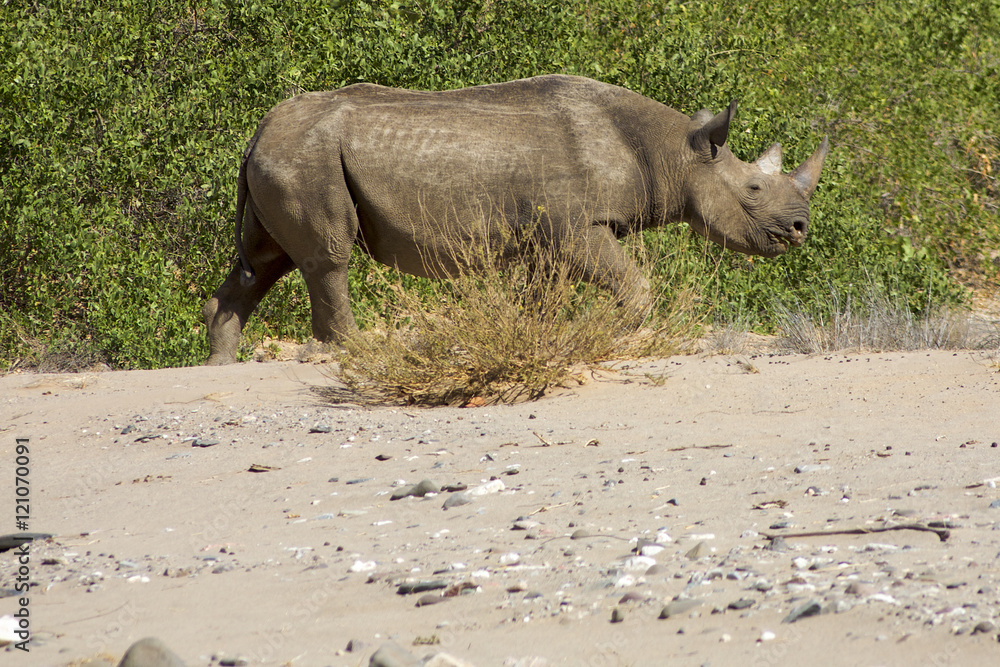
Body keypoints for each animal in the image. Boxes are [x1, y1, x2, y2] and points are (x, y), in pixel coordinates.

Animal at [203, 74, 828, 365]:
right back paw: (356, 354)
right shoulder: (577, 227)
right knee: (326, 258)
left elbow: (541, 298)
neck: (674, 152)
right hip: (304, 156)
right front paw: (615, 334)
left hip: (284, 156)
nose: (800, 229)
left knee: (265, 262)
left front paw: (542, 339)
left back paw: (220, 363)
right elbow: (633, 284)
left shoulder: (551, 236)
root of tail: (258, 129)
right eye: (753, 190)